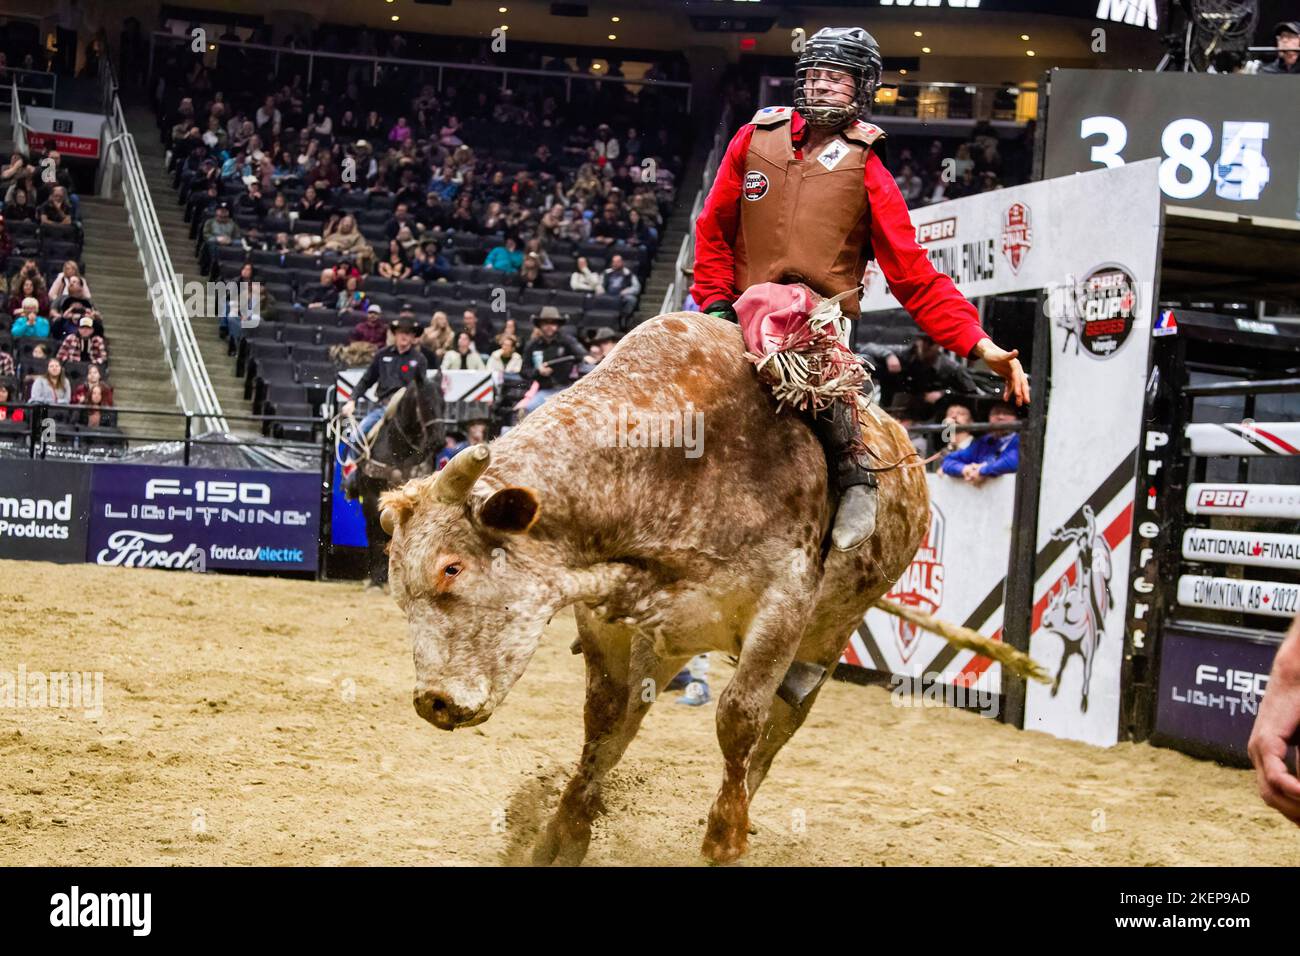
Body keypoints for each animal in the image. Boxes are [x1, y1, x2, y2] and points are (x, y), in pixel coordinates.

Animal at [379, 314, 930, 868]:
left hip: (825, 642)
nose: (432, 702)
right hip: (667, 644)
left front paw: (725, 837)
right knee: (631, 719)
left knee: (777, 730)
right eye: (401, 595)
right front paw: (562, 836)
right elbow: (604, 717)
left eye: (451, 568)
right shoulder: (609, 617)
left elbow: (739, 717)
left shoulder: (782, 611)